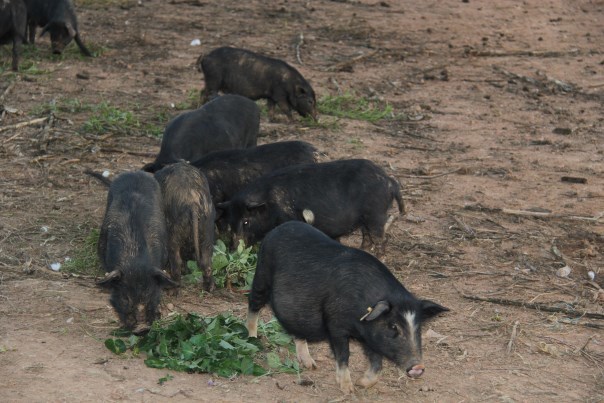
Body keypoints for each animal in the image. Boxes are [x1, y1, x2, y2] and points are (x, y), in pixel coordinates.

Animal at [153, 163, 217, 292]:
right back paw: (210, 287)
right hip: (208, 229)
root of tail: (193, 203)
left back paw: (173, 288)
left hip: (174, 233)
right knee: (206, 260)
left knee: (176, 260)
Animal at [217, 159, 406, 251]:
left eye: (246, 221)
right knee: (367, 238)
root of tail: (389, 182)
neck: (270, 204)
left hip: (375, 214)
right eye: (230, 223)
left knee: (380, 238)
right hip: (366, 219)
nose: (232, 249)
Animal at [247, 221, 448, 394]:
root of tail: (280, 227)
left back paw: (311, 365)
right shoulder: (335, 326)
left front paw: (361, 384)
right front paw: (348, 390)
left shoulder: (370, 338)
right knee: (253, 305)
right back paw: (252, 340)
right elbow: (344, 355)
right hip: (262, 274)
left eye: (418, 327)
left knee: (297, 331)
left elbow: (377, 364)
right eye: (393, 326)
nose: (418, 366)